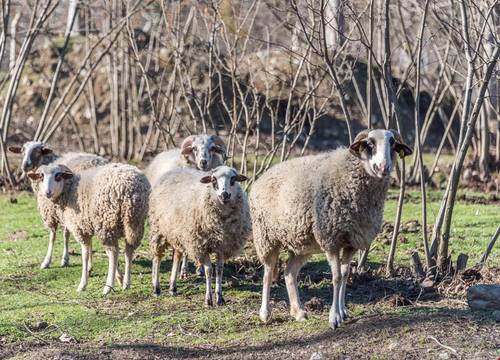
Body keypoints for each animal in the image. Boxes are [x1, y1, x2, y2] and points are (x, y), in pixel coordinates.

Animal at [28, 163, 150, 296]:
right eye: (41, 176)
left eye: (58, 176)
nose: (47, 192)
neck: (70, 190)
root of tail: (130, 188)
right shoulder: (89, 225)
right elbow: (98, 251)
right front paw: (119, 277)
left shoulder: (80, 229)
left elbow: (85, 254)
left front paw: (83, 283)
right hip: (135, 223)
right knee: (128, 251)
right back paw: (126, 283)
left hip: (106, 222)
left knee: (114, 252)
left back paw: (107, 287)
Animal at [148, 165, 250, 306]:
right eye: (213, 180)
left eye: (233, 179)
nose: (224, 194)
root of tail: (174, 170)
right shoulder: (201, 246)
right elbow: (209, 270)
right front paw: (208, 299)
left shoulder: (223, 246)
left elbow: (219, 270)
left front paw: (220, 298)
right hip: (158, 229)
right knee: (157, 257)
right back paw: (156, 288)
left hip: (178, 232)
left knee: (177, 256)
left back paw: (173, 287)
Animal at [248, 129, 412, 330]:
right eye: (370, 144)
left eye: (393, 144)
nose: (383, 168)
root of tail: (261, 177)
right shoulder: (331, 240)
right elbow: (336, 277)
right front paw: (334, 318)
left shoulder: (351, 242)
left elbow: (345, 274)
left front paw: (343, 312)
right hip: (266, 237)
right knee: (268, 273)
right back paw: (265, 313)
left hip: (302, 244)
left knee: (289, 273)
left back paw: (299, 312)